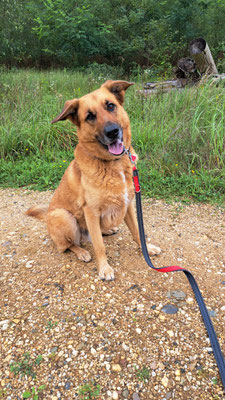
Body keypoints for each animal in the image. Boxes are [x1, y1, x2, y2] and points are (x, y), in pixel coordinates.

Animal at [25, 79, 160, 280]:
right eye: (89, 116)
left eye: (110, 105)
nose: (113, 132)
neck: (113, 164)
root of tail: (48, 214)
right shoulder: (91, 212)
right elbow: (99, 246)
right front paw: (104, 268)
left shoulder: (128, 205)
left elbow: (138, 232)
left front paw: (147, 249)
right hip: (64, 217)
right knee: (67, 245)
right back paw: (81, 252)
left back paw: (108, 230)